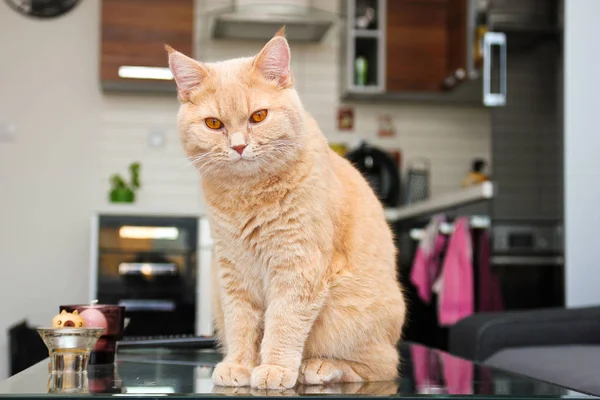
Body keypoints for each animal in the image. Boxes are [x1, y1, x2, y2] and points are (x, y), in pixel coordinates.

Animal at [166, 26, 406, 390]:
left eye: (258, 116)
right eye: (214, 124)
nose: (238, 146)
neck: (247, 194)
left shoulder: (297, 265)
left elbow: (284, 322)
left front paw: (275, 367)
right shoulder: (233, 272)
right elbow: (240, 324)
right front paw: (239, 364)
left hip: (352, 321)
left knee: (380, 367)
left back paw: (320, 366)